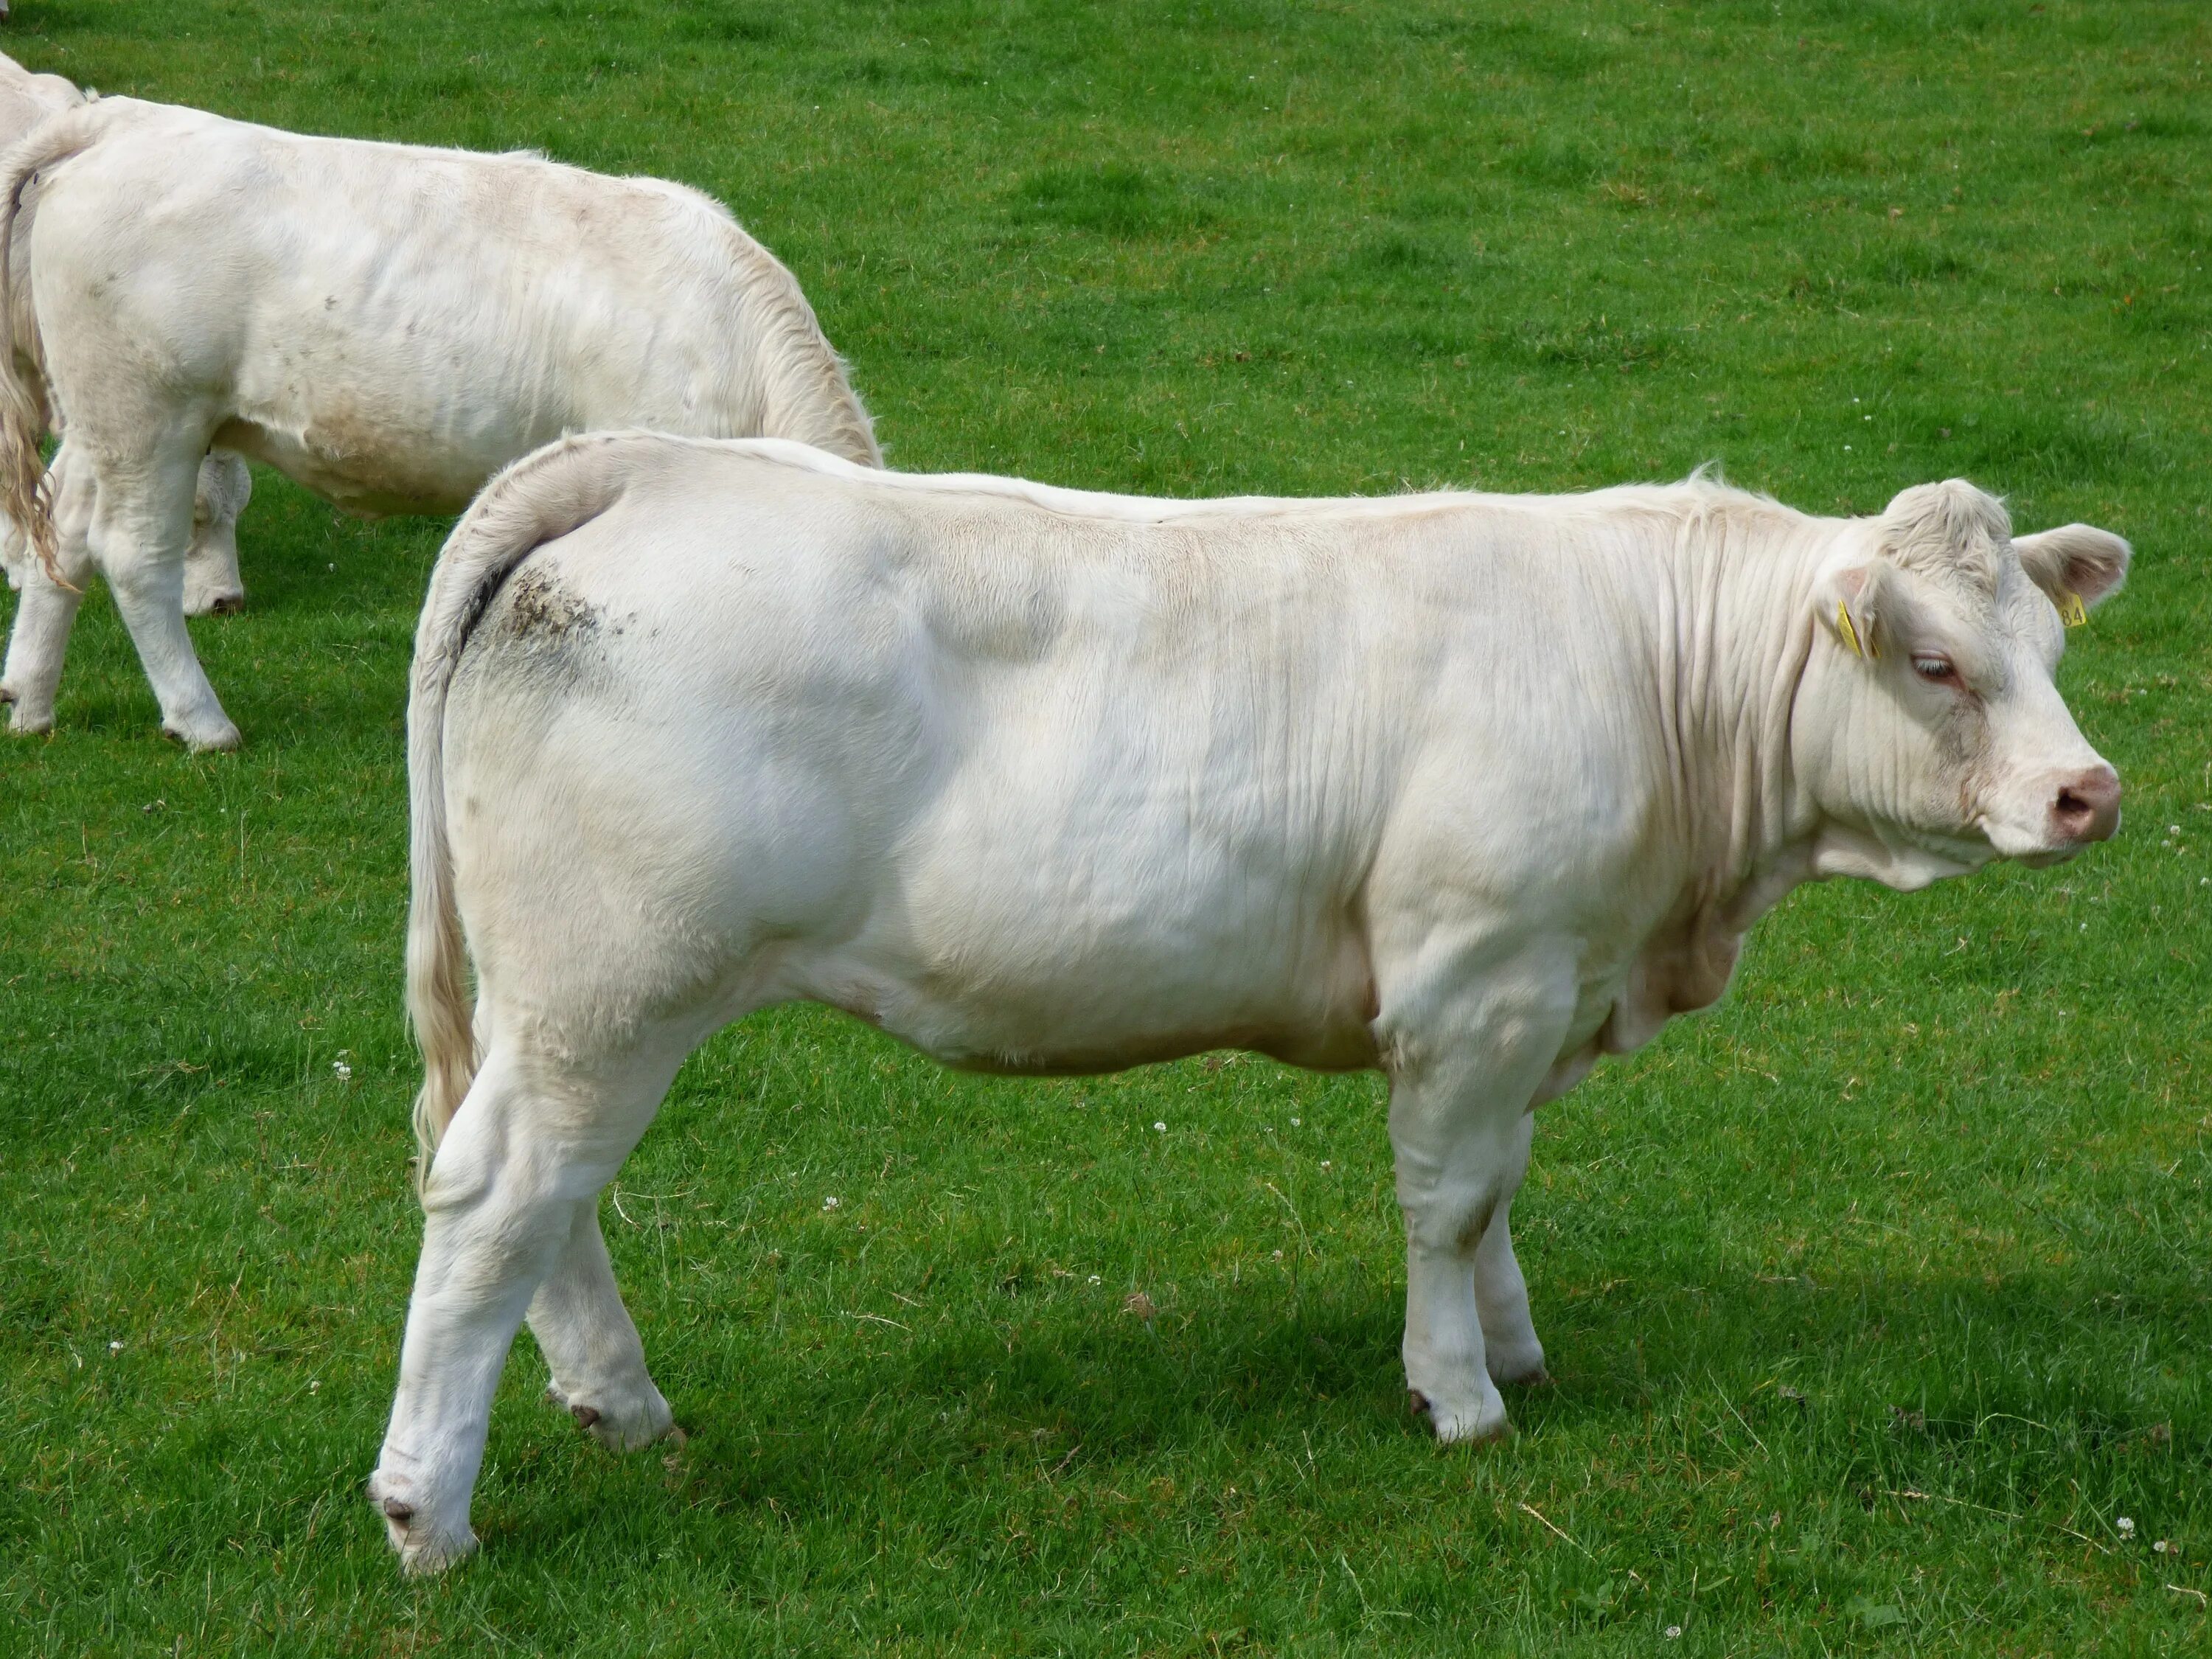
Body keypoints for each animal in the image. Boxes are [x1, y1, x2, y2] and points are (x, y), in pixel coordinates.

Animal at [372, 429, 2132, 1575]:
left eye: (2045, 646)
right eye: (1932, 664)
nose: (2087, 794)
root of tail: (658, 465)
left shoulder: (1535, 988)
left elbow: (1502, 1191)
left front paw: (1516, 1346)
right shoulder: (1476, 977)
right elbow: (1449, 1200)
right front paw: (1462, 1396)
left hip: (567, 1003)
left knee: (538, 1200)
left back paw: (623, 1410)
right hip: (616, 985)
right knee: (499, 1196)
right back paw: (429, 1515)